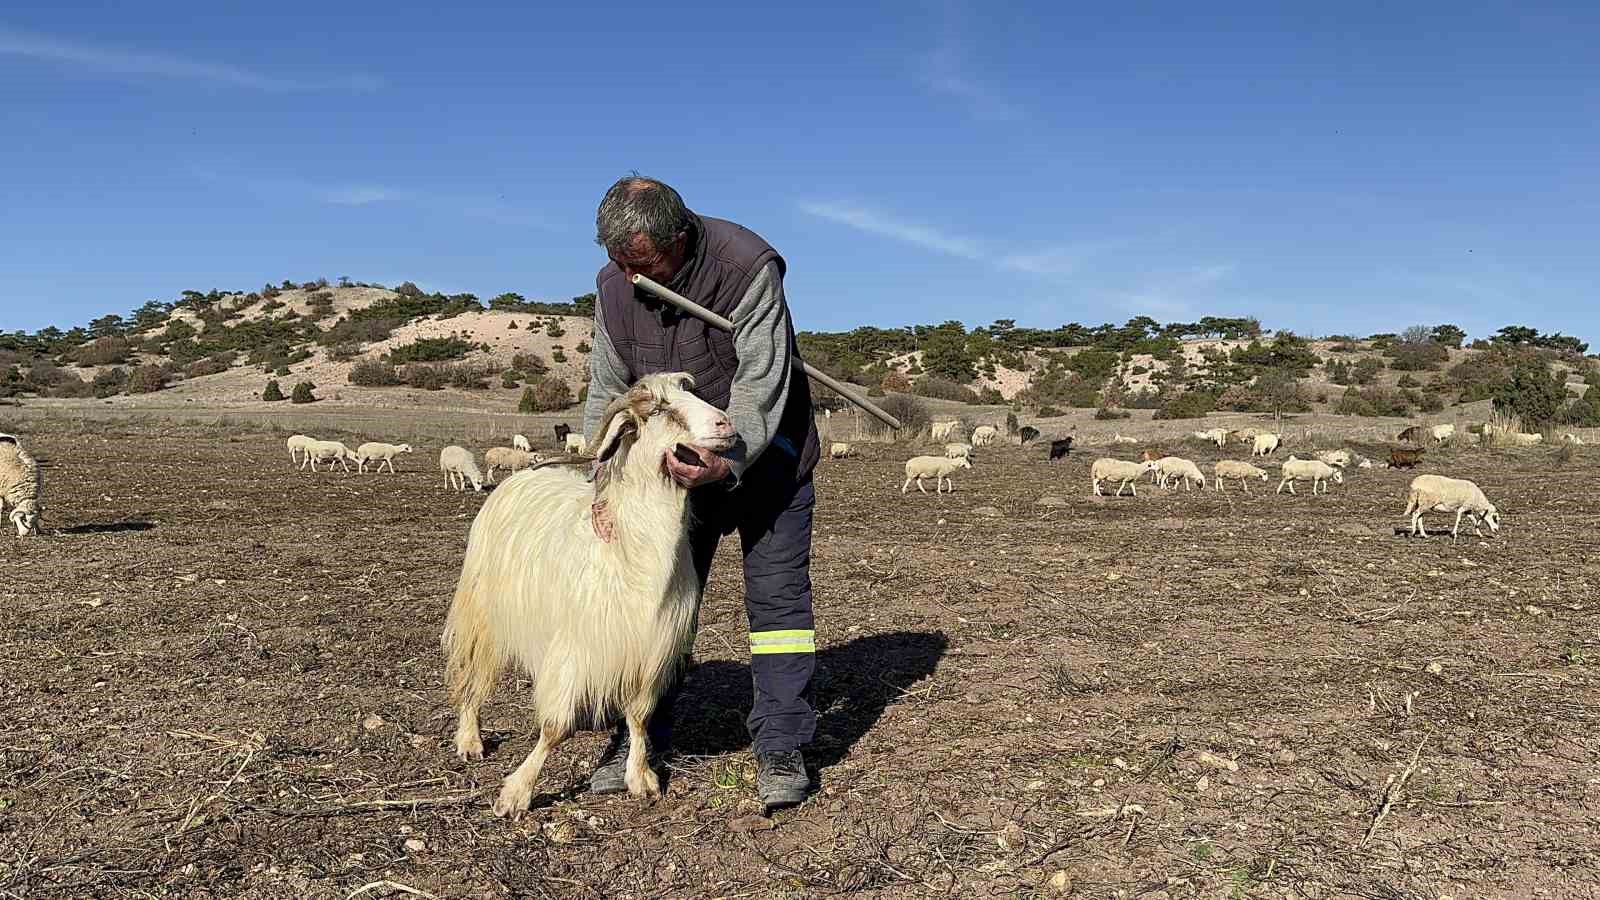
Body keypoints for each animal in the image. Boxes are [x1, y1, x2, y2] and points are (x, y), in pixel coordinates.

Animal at [441, 368, 732, 810]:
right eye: (660, 409)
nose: (726, 425)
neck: (633, 554)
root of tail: (520, 476)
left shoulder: (648, 649)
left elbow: (640, 717)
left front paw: (640, 776)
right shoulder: (577, 647)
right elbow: (556, 726)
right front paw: (517, 791)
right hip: (484, 612)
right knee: (474, 674)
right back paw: (470, 739)